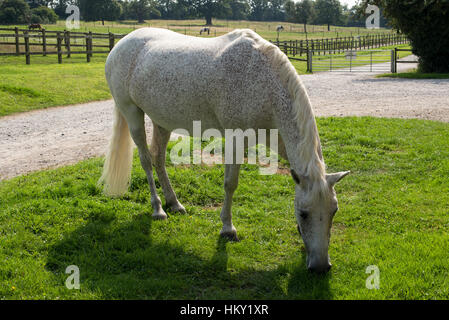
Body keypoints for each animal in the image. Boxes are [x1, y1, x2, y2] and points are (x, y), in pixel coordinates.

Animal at [99, 26, 350, 272]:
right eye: (304, 214)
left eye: (334, 211)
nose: (320, 267)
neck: (263, 83)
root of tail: (121, 44)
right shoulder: (235, 139)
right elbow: (230, 184)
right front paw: (228, 229)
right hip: (132, 114)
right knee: (146, 161)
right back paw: (158, 209)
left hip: (162, 121)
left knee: (158, 159)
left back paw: (174, 203)